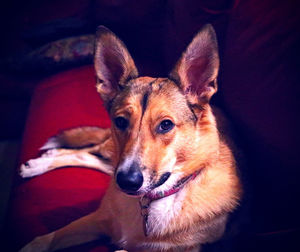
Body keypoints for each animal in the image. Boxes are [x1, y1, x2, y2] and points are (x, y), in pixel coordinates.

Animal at [19, 24, 243, 252]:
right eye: (120, 121)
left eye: (166, 125)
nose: (127, 182)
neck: (150, 200)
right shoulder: (96, 219)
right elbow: (44, 240)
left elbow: (122, 249)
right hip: (113, 153)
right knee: (90, 152)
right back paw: (40, 163)